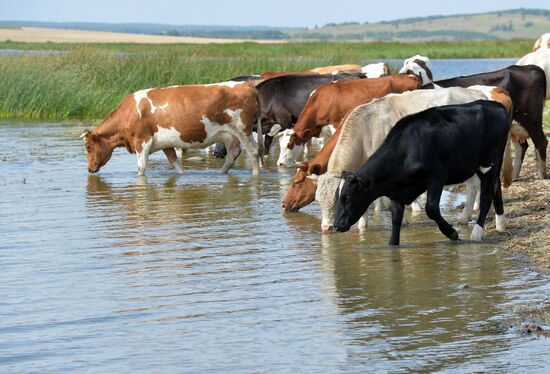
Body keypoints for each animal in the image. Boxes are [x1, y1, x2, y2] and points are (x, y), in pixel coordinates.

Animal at [82, 80, 264, 175]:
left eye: (89, 147)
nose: (89, 169)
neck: (129, 112)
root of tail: (246, 84)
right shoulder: (165, 144)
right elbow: (175, 164)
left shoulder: (142, 141)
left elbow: (141, 168)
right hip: (228, 135)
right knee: (233, 154)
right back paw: (220, 173)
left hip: (243, 130)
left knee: (254, 152)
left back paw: (255, 176)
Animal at [312, 88, 516, 234]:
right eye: (318, 200)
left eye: (338, 200)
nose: (327, 228)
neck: (366, 129)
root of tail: (480, 95)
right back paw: (499, 222)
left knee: (476, 185)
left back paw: (467, 218)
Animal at [404, 57, 548, 180]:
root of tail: (530, 67)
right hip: (516, 125)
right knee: (522, 146)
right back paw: (513, 177)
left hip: (531, 118)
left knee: (541, 142)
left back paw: (542, 175)